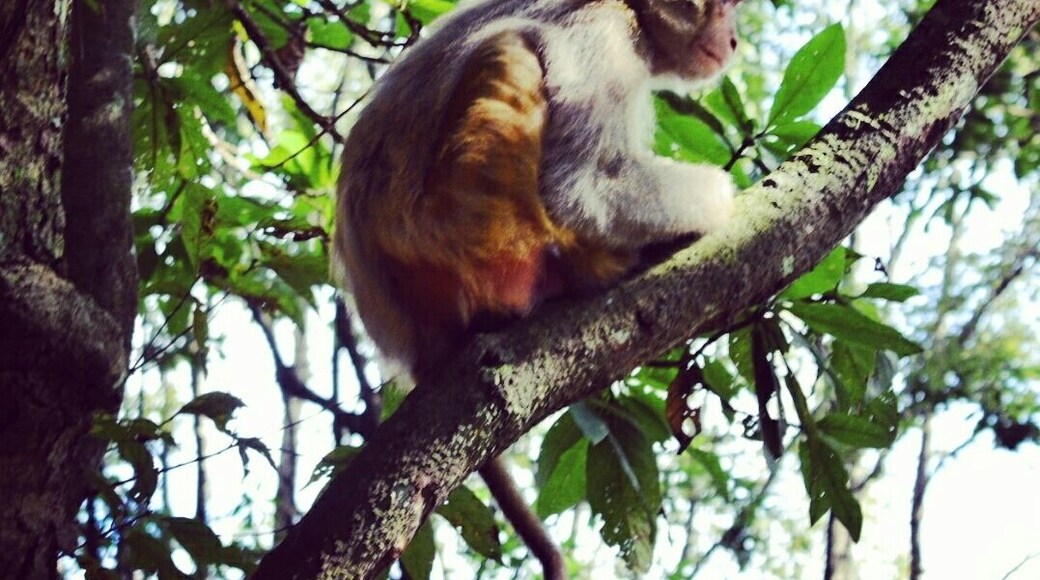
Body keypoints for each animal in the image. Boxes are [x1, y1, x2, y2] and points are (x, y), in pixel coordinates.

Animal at [332, 0, 740, 576]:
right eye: (723, 9)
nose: (734, 40)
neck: (636, 23)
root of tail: (412, 346)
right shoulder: (603, 41)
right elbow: (586, 190)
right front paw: (721, 198)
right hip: (459, 230)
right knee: (514, 52)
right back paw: (582, 269)